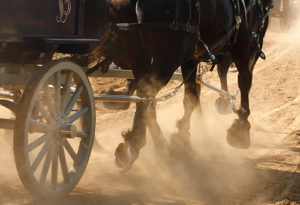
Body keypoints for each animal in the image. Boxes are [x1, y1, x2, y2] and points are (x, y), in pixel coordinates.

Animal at [114, 0, 272, 171]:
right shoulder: (246, 48)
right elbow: (244, 82)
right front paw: (242, 125)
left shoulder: (190, 59)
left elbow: (190, 98)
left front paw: (182, 137)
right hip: (168, 58)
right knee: (146, 88)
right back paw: (135, 142)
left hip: (139, 55)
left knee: (146, 96)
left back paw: (157, 143)